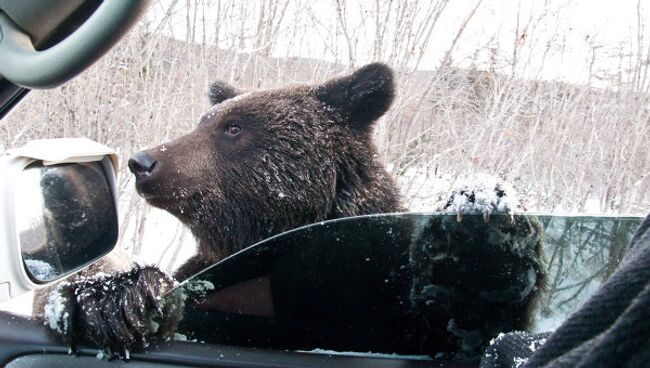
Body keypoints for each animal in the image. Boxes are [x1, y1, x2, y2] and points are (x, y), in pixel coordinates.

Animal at [40, 63, 544, 360]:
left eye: (233, 127)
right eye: (207, 121)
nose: (143, 162)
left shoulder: (376, 289)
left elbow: (466, 323)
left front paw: (481, 224)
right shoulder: (217, 281)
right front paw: (109, 300)